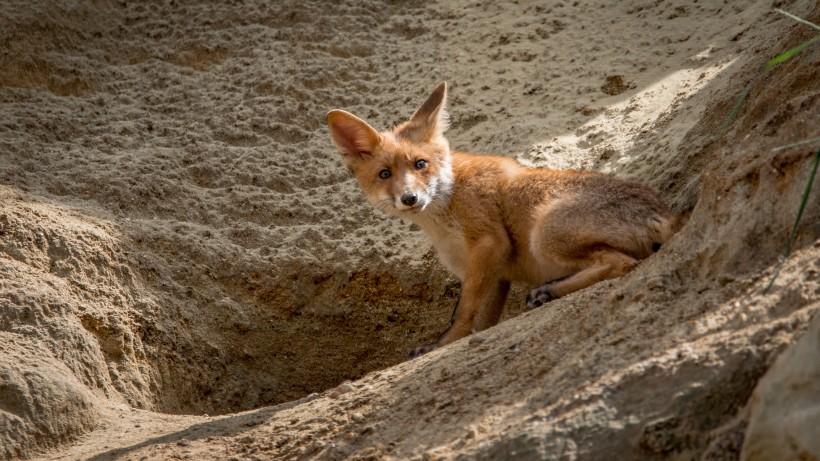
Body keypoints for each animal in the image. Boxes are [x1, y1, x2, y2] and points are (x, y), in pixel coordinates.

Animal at [324, 82, 684, 356]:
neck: (448, 209)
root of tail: (664, 212)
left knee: (621, 263)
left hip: (544, 236)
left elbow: (462, 313)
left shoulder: (489, 243)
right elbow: (482, 321)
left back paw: (550, 290)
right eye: (385, 174)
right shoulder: (495, 274)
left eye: (420, 164)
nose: (410, 198)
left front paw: (442, 345)